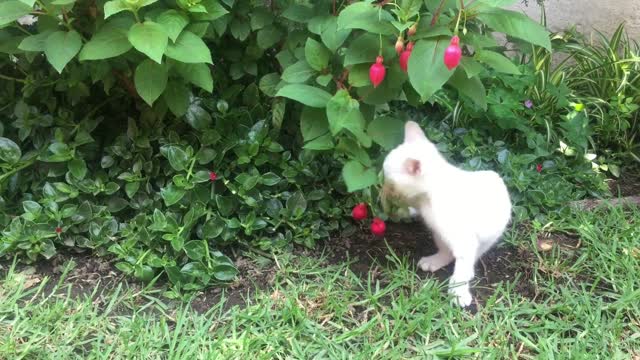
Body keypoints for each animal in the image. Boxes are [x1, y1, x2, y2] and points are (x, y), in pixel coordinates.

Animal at [382, 121, 512, 306]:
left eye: (390, 180)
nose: (383, 187)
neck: (428, 197)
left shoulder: (465, 239)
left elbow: (463, 263)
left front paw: (459, 292)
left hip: (486, 238)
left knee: (471, 256)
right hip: (439, 234)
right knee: (447, 252)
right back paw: (435, 261)